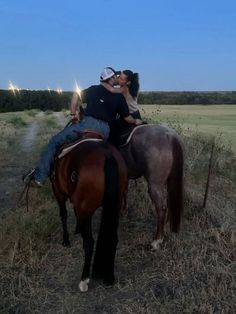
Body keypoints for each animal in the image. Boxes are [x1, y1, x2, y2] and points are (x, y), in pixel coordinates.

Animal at [50, 139, 127, 294]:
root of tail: (107, 155)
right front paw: (77, 229)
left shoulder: (59, 194)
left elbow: (63, 215)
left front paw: (66, 240)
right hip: (115, 205)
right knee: (113, 238)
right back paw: (109, 277)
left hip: (85, 209)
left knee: (89, 243)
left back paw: (84, 280)